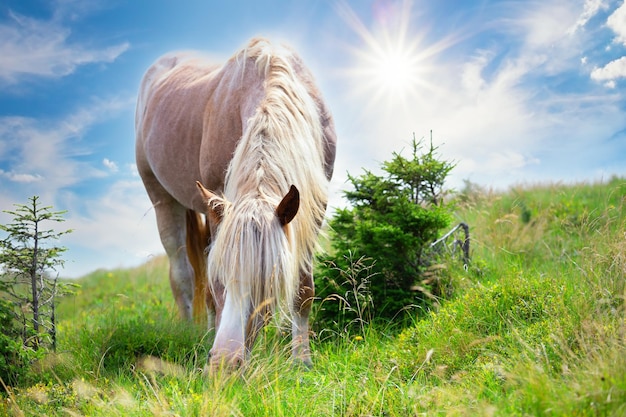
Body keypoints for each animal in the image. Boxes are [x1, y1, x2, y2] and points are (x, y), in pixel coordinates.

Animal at [133, 36, 334, 368]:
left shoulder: (313, 208)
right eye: (222, 278)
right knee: (183, 275)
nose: (223, 364)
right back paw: (191, 332)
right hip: (162, 199)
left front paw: (301, 360)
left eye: (267, 279)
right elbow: (210, 291)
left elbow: (303, 289)